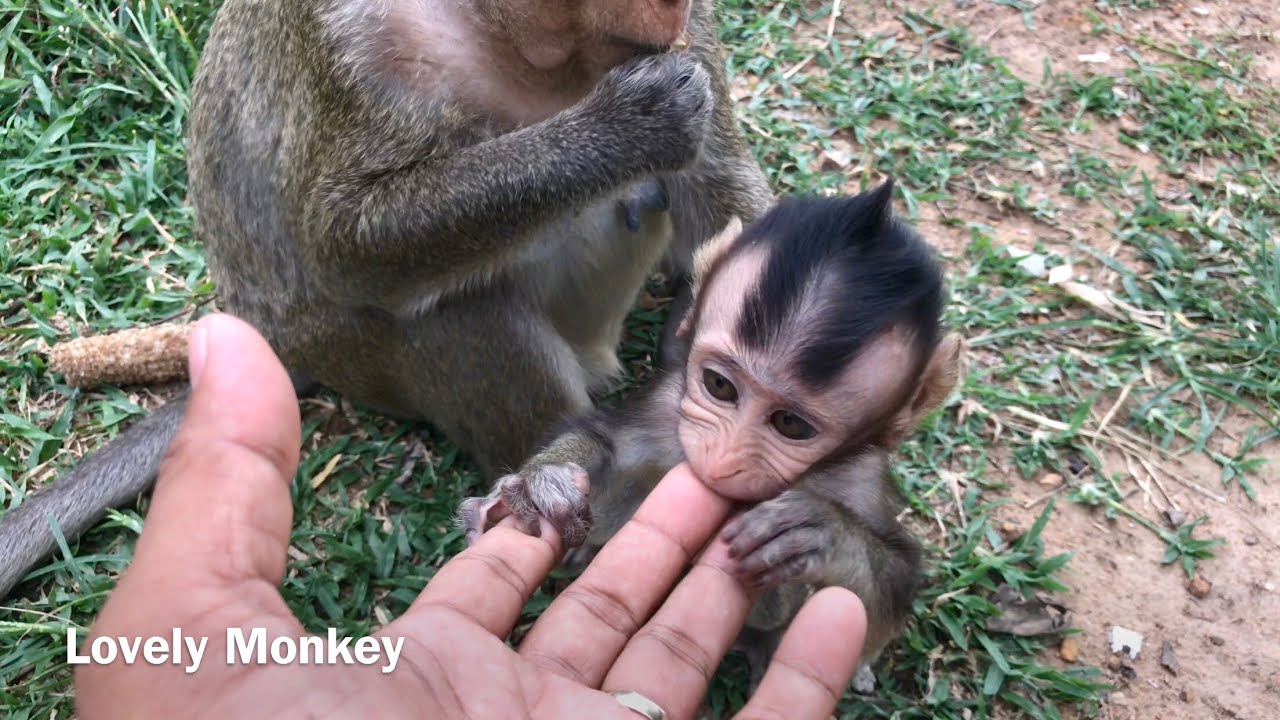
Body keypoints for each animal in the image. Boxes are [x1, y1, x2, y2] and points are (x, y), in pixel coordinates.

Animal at [0, 0, 774, 599]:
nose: (671, 7)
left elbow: (724, 195)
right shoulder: (349, 44)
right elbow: (347, 244)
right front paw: (626, 129)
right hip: (362, 356)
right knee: (449, 311)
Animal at [460, 181, 963, 683]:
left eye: (790, 424)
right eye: (720, 385)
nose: (723, 458)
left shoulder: (860, 477)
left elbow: (888, 596)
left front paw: (822, 533)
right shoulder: (669, 407)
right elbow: (610, 446)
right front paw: (543, 481)